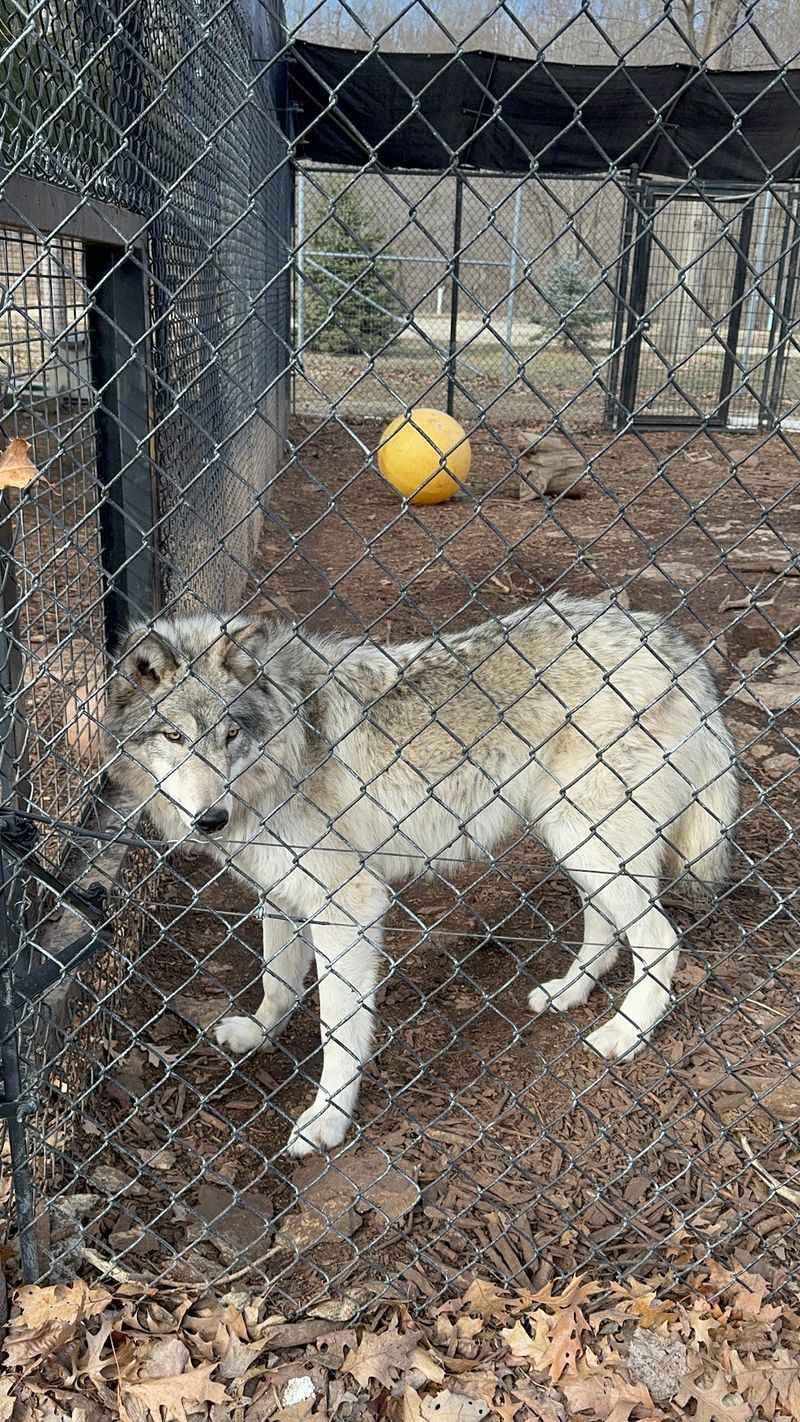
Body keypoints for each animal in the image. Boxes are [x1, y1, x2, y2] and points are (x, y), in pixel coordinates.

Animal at [104, 594, 738, 1155]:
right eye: (175, 736)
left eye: (230, 735)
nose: (211, 819)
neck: (287, 747)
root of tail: (674, 645)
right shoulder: (283, 894)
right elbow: (278, 980)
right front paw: (260, 1033)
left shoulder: (350, 907)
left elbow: (338, 1031)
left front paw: (326, 1121)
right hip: (576, 841)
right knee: (607, 929)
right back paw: (567, 993)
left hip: (589, 840)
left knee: (662, 940)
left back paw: (625, 1033)